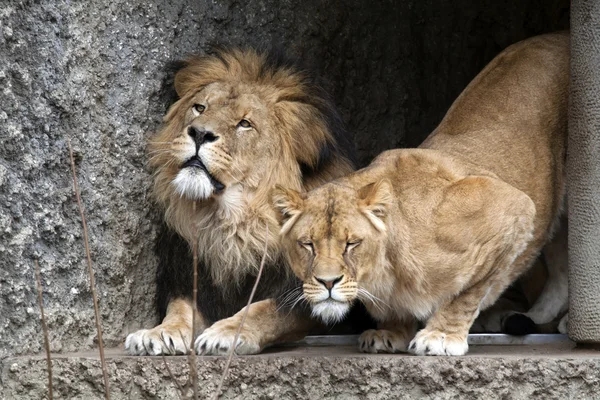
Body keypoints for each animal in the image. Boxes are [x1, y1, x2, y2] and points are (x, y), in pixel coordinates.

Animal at [123, 48, 356, 354]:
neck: (233, 225)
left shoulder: (307, 296)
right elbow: (180, 309)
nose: (199, 133)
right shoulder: (187, 279)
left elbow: (264, 311)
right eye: (200, 108)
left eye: (245, 124)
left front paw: (226, 333)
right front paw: (160, 333)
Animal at [272, 32, 568, 354]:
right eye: (307, 244)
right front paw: (391, 331)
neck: (387, 271)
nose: (327, 283)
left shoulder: (514, 207)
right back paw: (537, 317)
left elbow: (467, 292)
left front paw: (441, 336)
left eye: (352, 244)